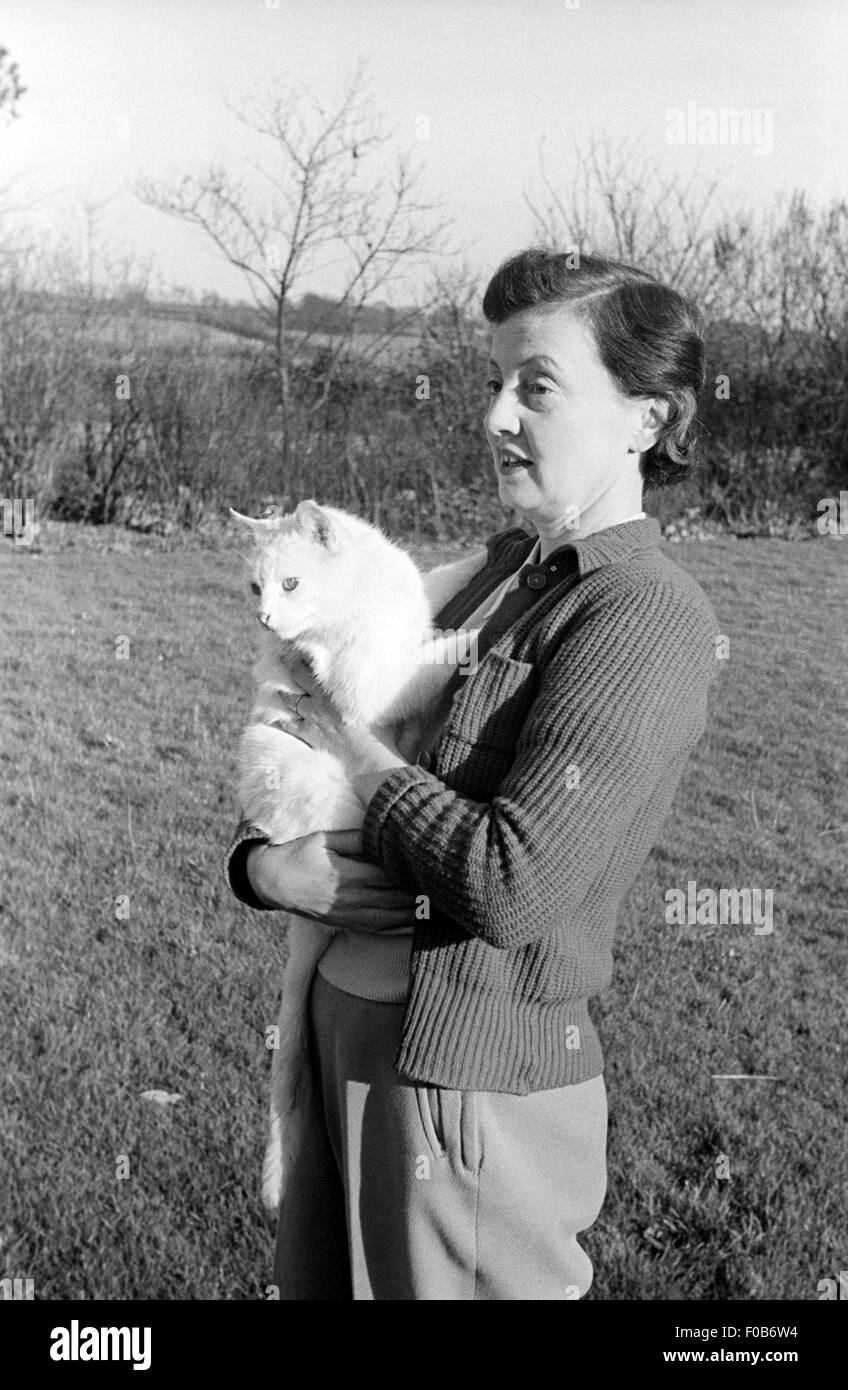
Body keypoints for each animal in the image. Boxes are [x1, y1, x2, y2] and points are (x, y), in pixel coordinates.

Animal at [227, 503, 486, 1217]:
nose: (264, 619)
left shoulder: (412, 602)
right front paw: (476, 636)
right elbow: (424, 664)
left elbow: (441, 583)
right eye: (255, 588)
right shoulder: (367, 691)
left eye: (289, 583)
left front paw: (482, 556)